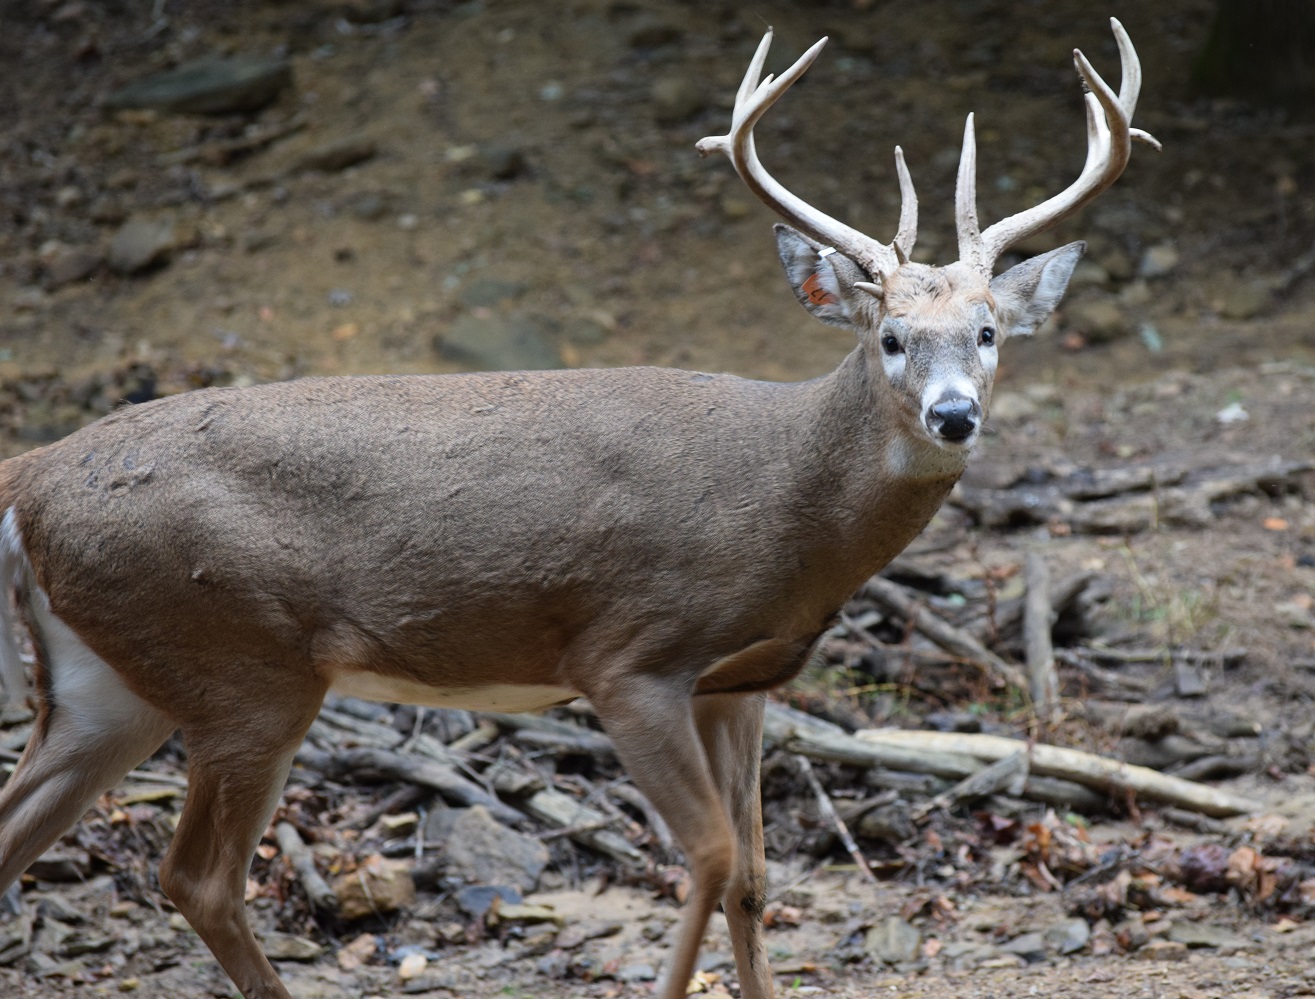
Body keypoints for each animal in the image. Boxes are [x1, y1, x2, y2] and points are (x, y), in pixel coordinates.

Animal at [0, 19, 1151, 998]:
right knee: (198, 878)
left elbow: (754, 875)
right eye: (891, 338)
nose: (954, 415)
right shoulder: (629, 655)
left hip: (113, 678)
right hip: (244, 664)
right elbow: (708, 854)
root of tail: (33, 478)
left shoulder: (741, 680)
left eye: (991, 331)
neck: (785, 501)